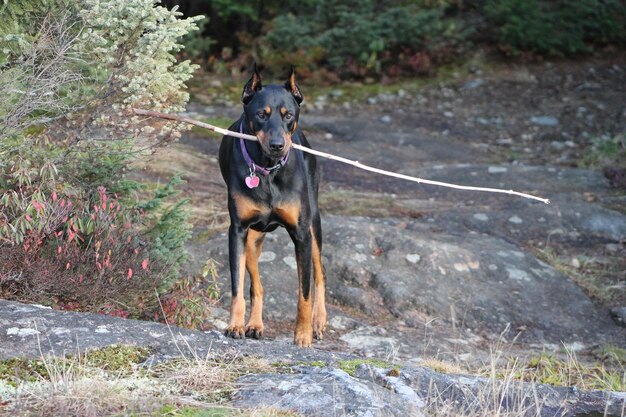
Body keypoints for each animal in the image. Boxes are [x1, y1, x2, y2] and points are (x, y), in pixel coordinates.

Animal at [218, 64, 326, 344]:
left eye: (288, 115)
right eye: (261, 115)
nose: (278, 145)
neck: (267, 170)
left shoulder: (302, 234)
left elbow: (304, 293)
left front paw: (303, 334)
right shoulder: (238, 231)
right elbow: (237, 287)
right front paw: (235, 325)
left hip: (314, 223)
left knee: (320, 273)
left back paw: (319, 320)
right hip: (253, 239)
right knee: (256, 285)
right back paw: (255, 324)